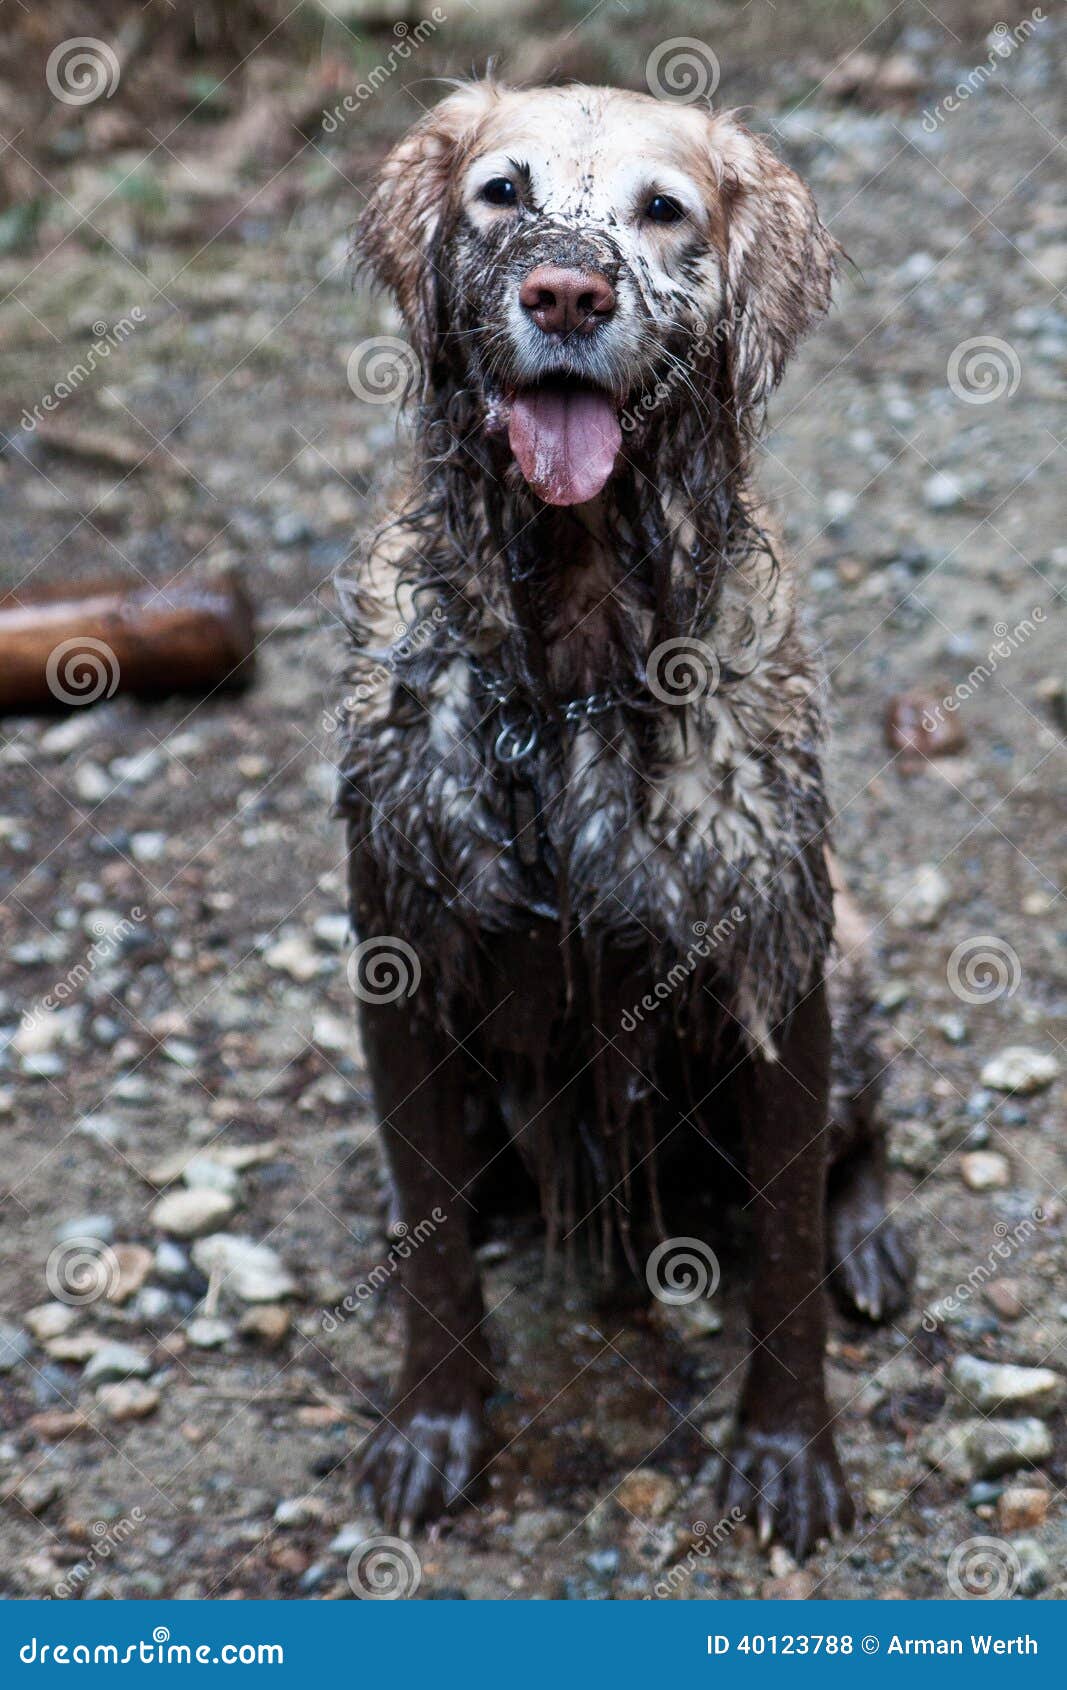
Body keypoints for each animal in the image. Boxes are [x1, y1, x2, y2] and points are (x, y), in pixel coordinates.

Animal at [338, 82, 913, 1554]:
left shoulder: (774, 955)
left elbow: (780, 1255)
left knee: (855, 1146)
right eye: (500, 191)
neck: (572, 667)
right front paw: (432, 1425)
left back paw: (870, 1236)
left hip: (850, 955)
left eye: (662, 210)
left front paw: (783, 1451)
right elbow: (431, 1240)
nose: (564, 291)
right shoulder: (400, 955)